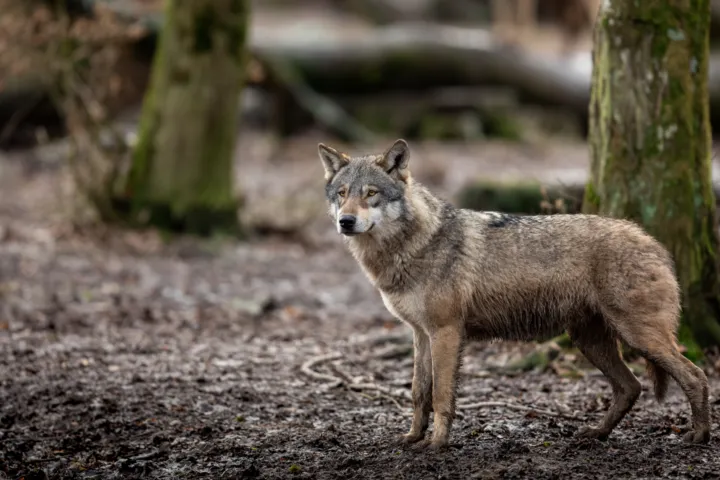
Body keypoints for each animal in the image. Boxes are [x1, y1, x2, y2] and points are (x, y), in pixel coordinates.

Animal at [317, 138, 711, 450]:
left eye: (371, 193)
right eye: (342, 194)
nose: (345, 222)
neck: (413, 245)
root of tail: (653, 242)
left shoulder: (446, 333)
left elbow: (441, 395)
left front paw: (437, 444)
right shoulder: (420, 334)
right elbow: (418, 392)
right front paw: (413, 438)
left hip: (638, 336)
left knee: (695, 376)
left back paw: (699, 436)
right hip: (590, 341)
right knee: (631, 387)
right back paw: (596, 434)